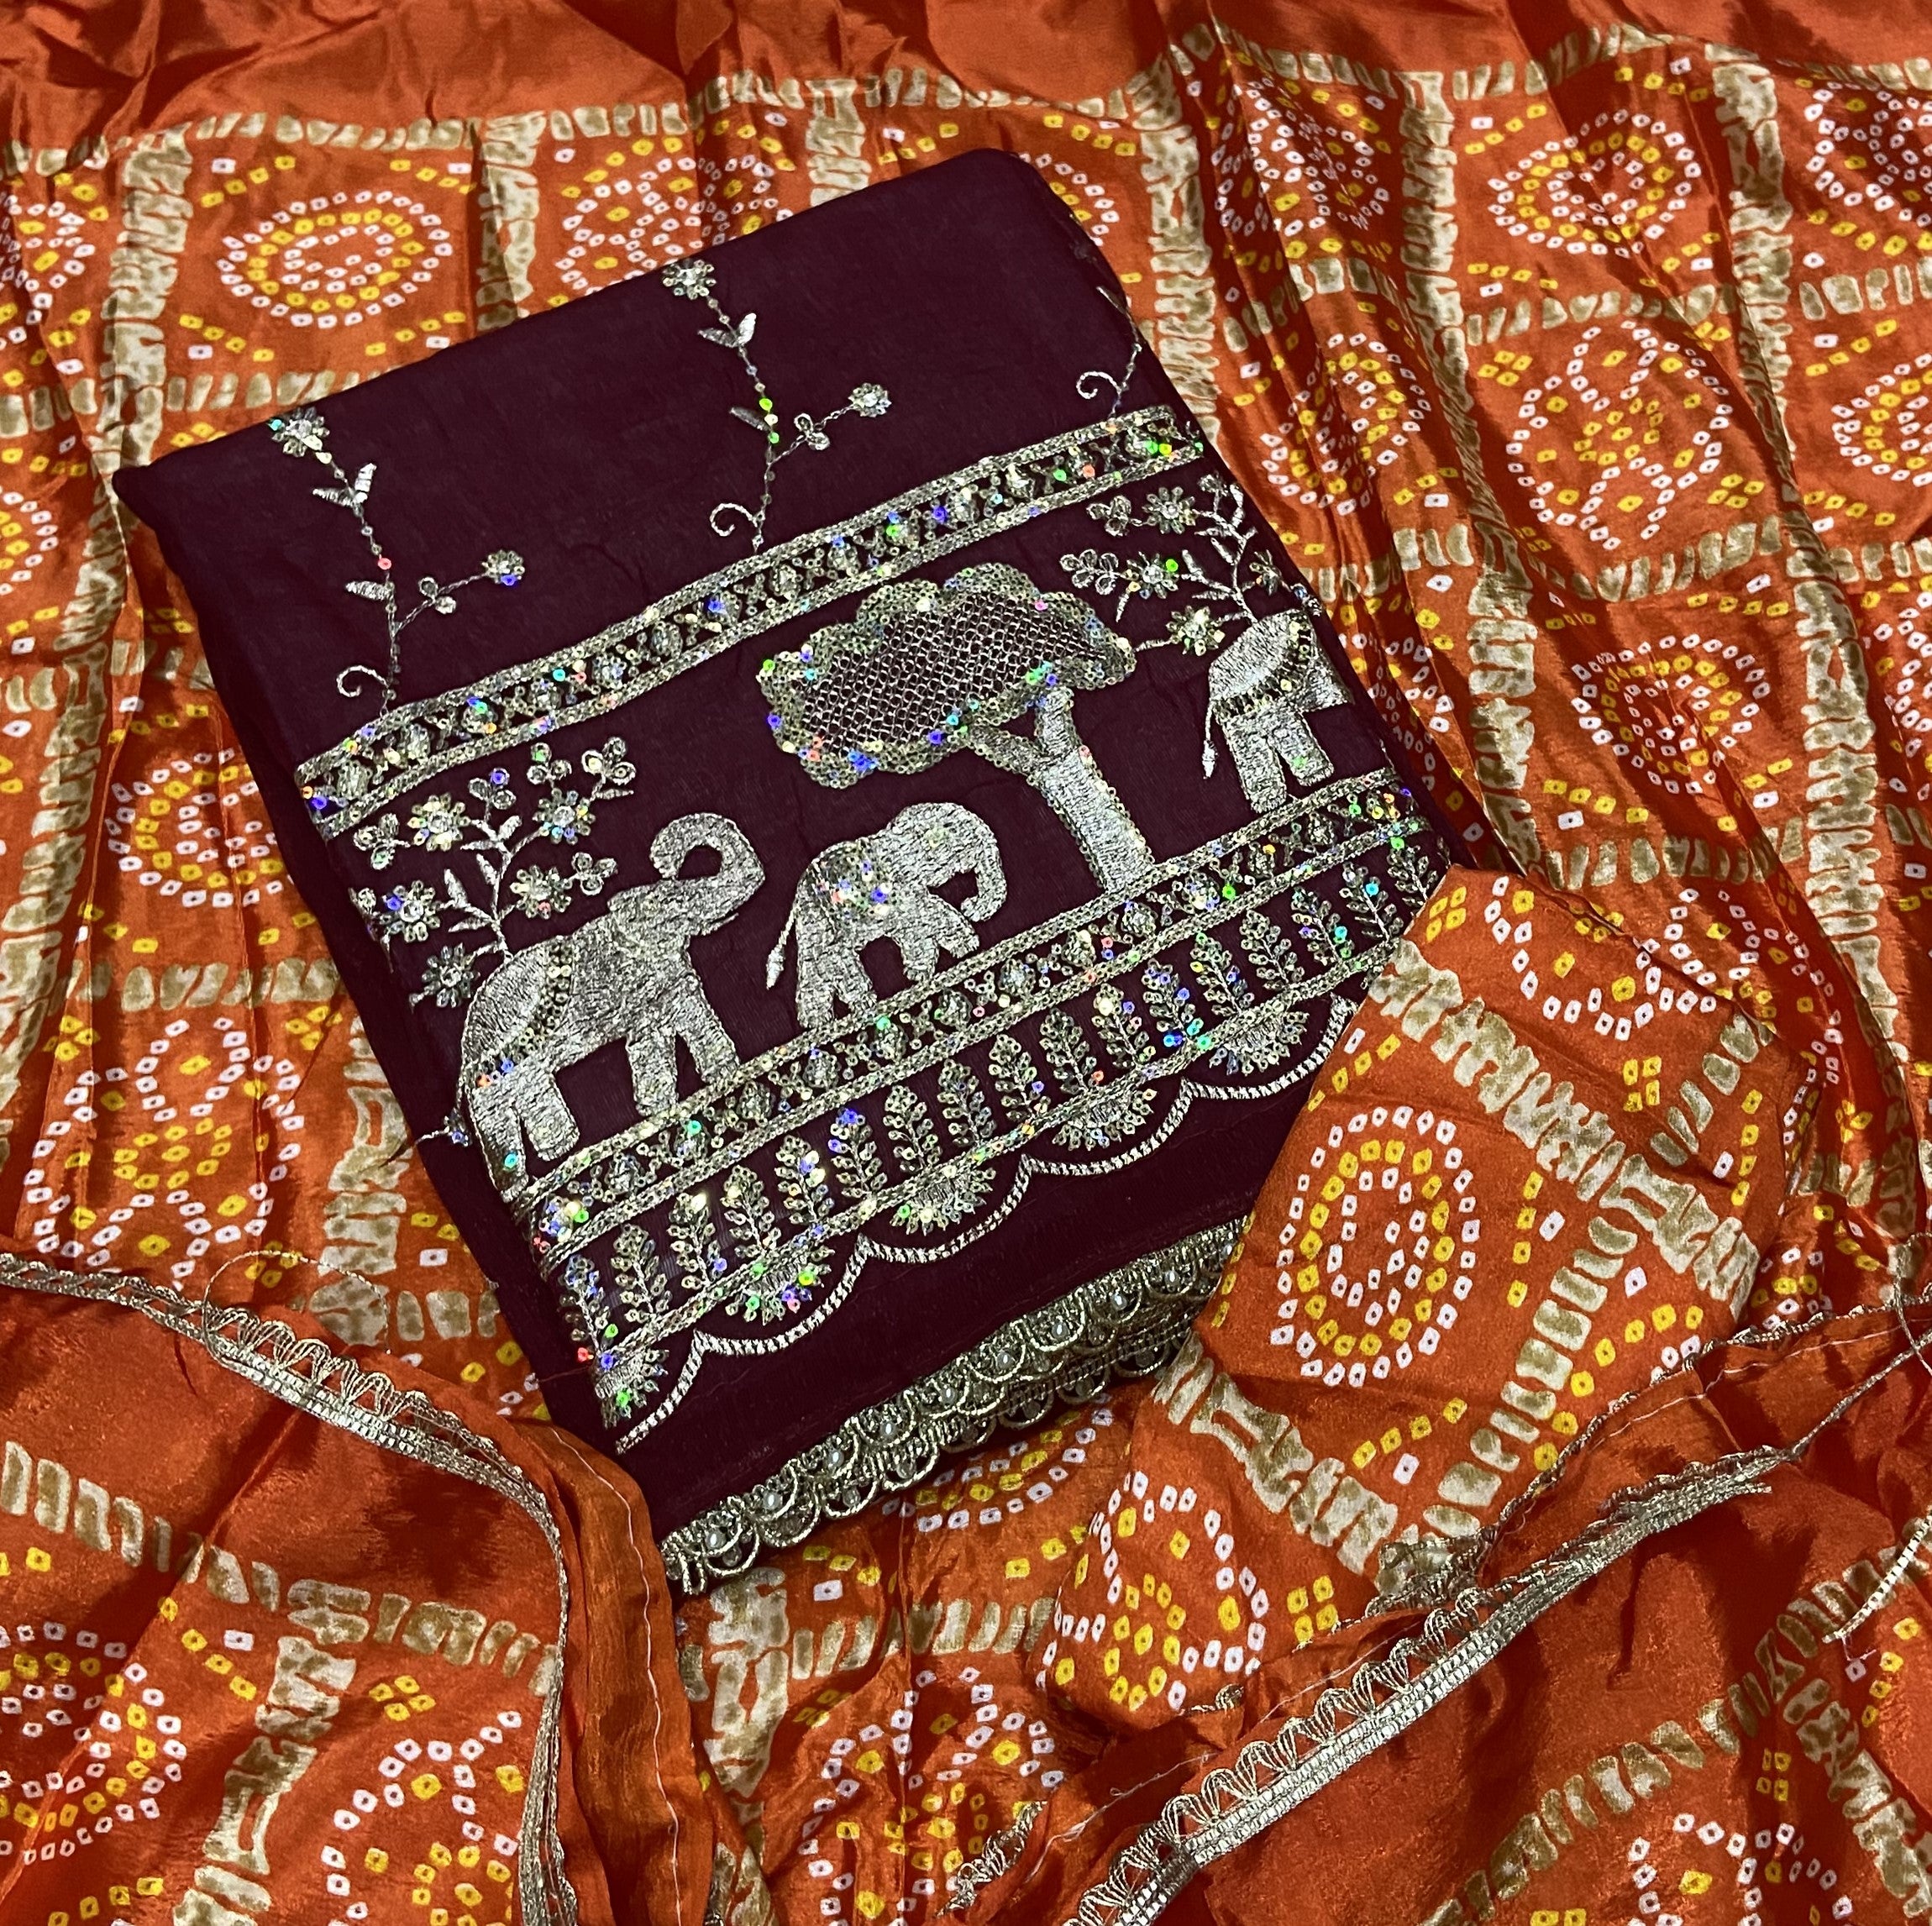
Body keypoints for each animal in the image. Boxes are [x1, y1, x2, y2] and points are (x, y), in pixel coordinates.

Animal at [461, 812, 763, 1187]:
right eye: (670, 910)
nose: (665, 860)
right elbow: (666, 1020)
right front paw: (683, 1093)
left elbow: (660, 1025)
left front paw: (669, 1100)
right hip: (507, 1070)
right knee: (515, 1104)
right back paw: (542, 1163)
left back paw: (543, 1159)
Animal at [766, 801, 1006, 1028]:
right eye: (938, 836)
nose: (970, 905)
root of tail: (797, 901)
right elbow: (928, 913)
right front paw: (967, 946)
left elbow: (913, 928)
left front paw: (919, 973)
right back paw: (837, 1013)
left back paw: (820, 1019)